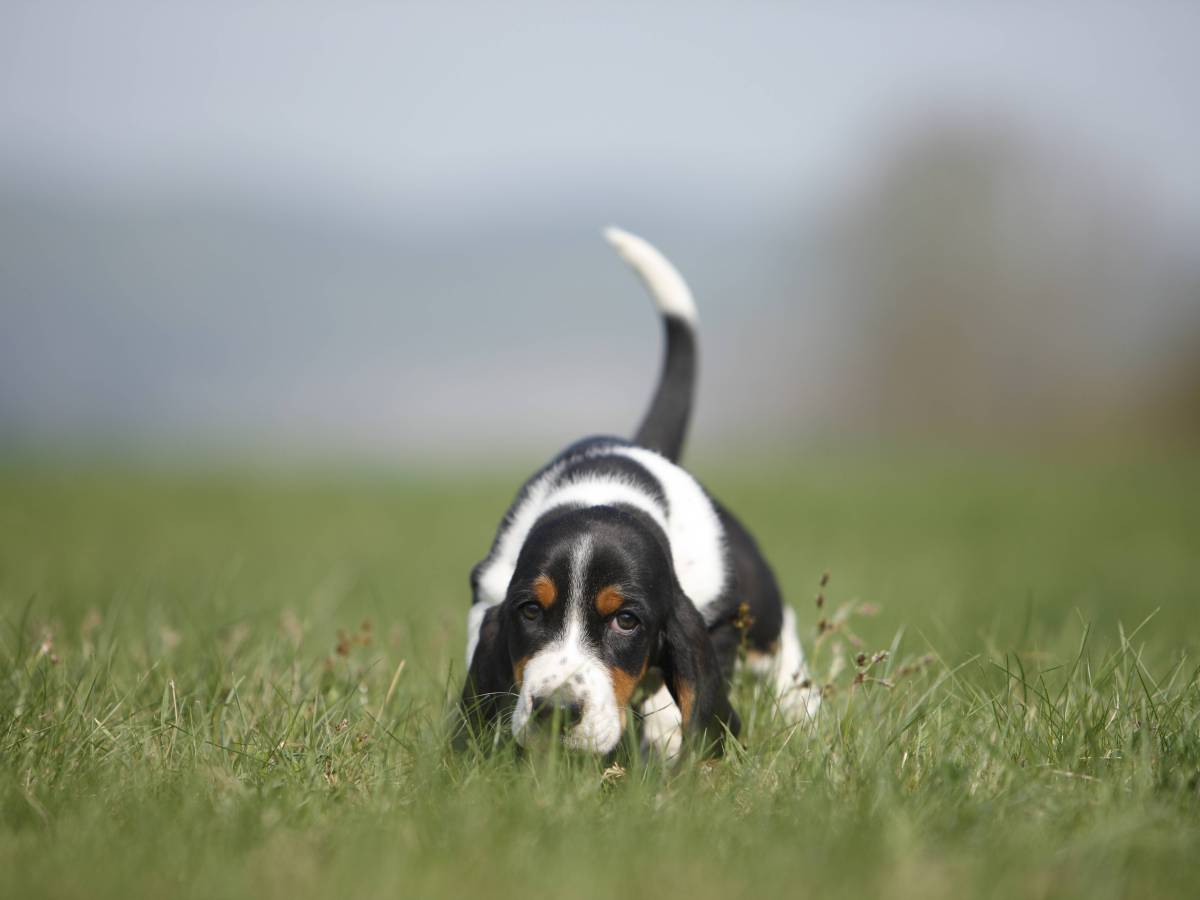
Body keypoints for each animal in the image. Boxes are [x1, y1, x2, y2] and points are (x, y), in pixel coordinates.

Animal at [460, 229, 825, 758]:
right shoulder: (488, 595)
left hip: (763, 621)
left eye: (626, 621)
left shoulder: (713, 624)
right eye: (530, 611)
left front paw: (669, 738)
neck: (606, 489)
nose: (556, 711)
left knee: (784, 654)